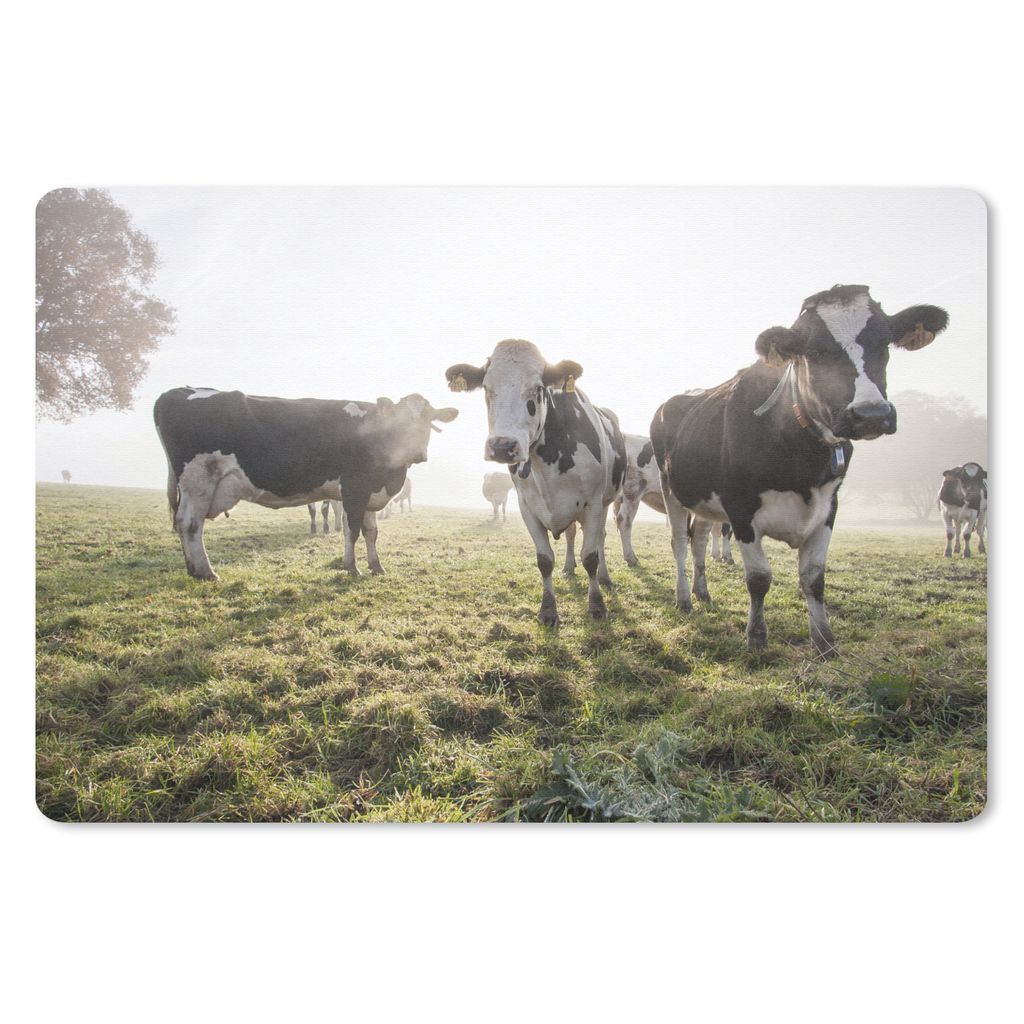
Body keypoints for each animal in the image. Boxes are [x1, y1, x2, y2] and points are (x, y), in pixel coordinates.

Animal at [154, 387, 457, 580]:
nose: (417, 453)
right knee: (190, 524)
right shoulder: (354, 489)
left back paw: (194, 569)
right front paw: (352, 568)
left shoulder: (370, 492)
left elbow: (372, 532)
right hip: (198, 479)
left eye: (428, 421)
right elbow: (352, 531)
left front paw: (377, 567)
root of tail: (179, 391)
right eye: (400, 420)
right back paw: (205, 572)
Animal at [445, 340, 626, 624]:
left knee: (600, 537)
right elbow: (544, 560)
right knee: (572, 534)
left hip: (607, 500)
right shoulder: (527, 507)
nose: (502, 446)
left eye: (538, 388)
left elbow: (590, 557)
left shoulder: (593, 504)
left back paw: (605, 578)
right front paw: (548, 610)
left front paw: (597, 605)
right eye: (486, 388)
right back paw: (568, 567)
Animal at [651, 284, 949, 656]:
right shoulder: (740, 507)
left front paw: (824, 641)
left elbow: (814, 578)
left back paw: (702, 592)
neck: (801, 454)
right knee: (679, 542)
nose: (871, 414)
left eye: (883, 343)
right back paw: (684, 599)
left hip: (705, 499)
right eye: (815, 352)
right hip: (672, 490)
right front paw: (756, 636)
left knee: (700, 540)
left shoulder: (828, 507)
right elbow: (759, 578)